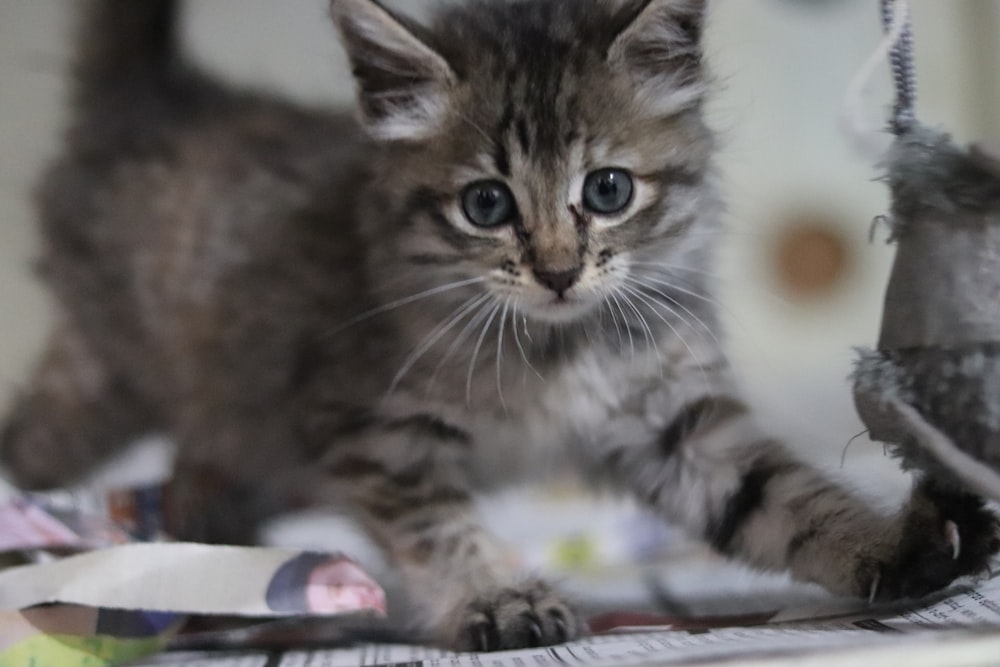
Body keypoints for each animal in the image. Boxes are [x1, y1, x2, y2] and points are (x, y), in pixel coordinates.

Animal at [3, 0, 996, 652]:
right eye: (486, 204)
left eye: (608, 190)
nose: (557, 270)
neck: (553, 347)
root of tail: (159, 99)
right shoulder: (376, 430)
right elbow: (440, 527)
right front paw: (499, 594)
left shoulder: (676, 424)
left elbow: (781, 499)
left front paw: (893, 544)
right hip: (101, 381)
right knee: (38, 443)